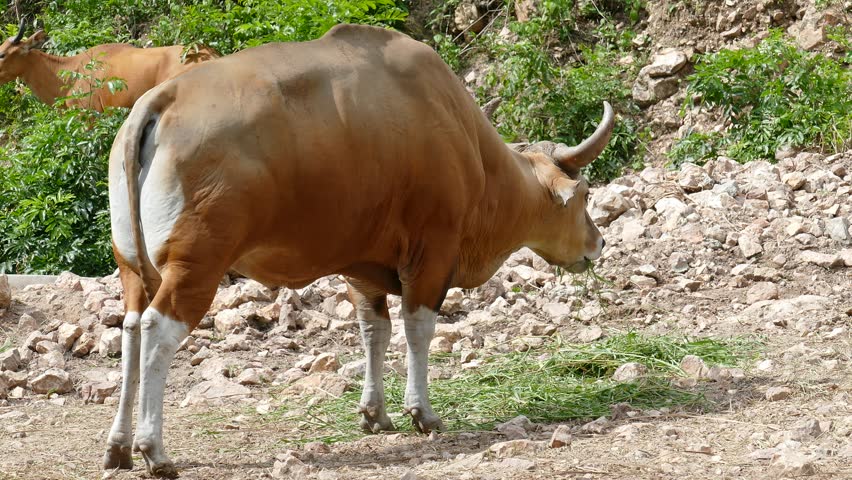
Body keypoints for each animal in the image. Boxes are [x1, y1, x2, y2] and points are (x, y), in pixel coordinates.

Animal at [106, 23, 612, 476]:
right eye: (585, 194)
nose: (598, 242)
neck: (463, 137)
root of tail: (158, 102)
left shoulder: (362, 268)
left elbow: (374, 331)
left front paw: (374, 414)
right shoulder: (433, 253)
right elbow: (418, 329)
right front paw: (422, 413)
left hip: (132, 266)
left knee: (130, 329)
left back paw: (119, 447)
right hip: (196, 265)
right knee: (157, 329)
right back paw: (155, 451)